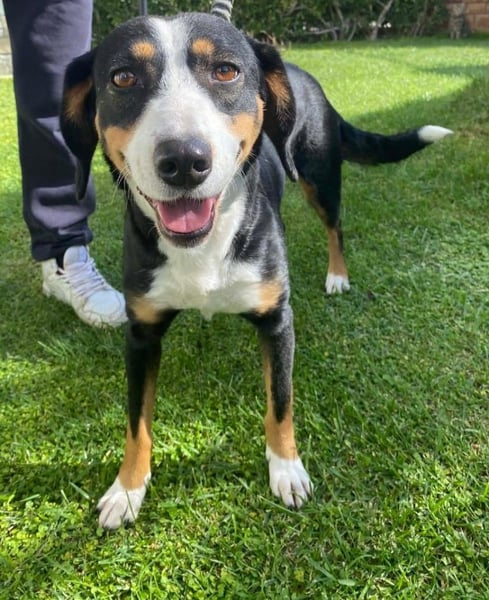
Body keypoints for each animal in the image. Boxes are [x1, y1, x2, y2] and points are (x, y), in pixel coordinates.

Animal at [60, 12, 451, 529]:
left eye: (226, 70)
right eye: (122, 78)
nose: (184, 160)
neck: (203, 247)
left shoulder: (277, 320)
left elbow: (280, 403)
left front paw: (286, 469)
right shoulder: (141, 333)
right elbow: (136, 422)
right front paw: (127, 489)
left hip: (318, 174)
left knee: (335, 226)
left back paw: (337, 275)